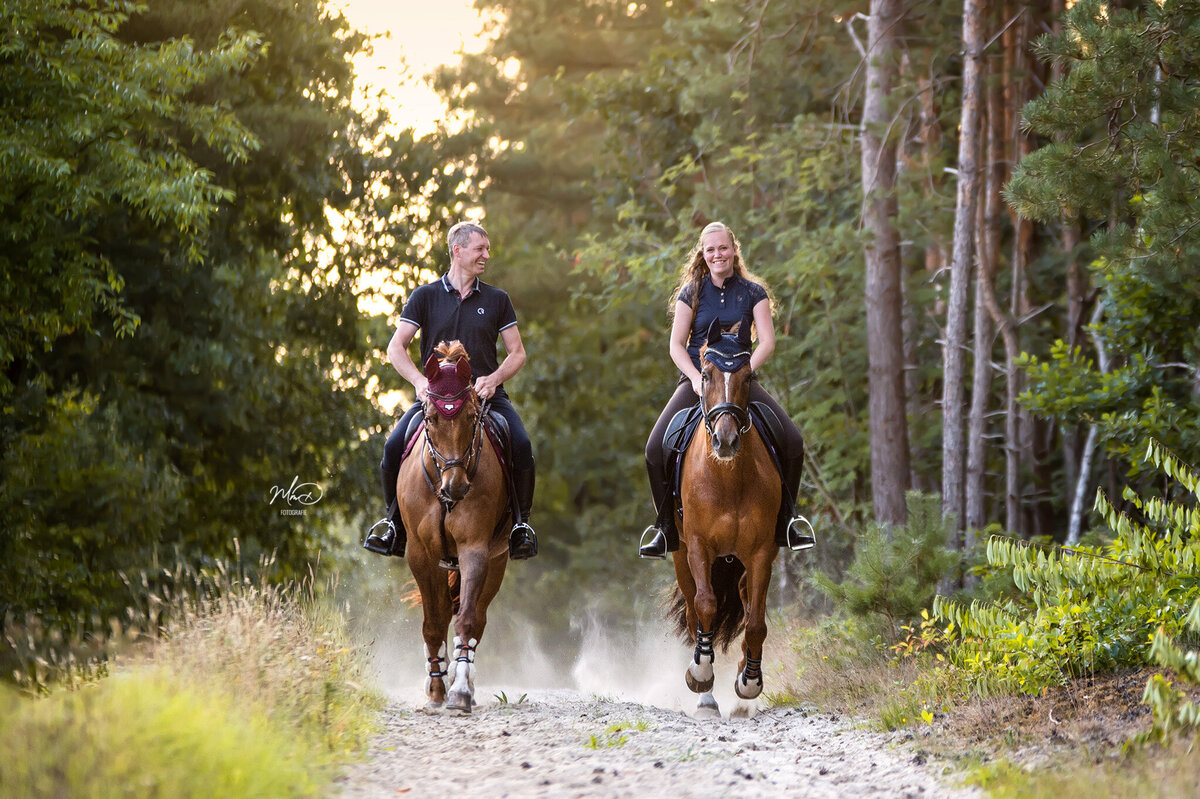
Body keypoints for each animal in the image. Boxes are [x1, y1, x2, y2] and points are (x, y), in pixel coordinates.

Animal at [398, 338, 511, 710]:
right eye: (432, 419)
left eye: (472, 416)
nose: (457, 487)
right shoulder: (420, 554)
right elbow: (434, 623)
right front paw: (436, 688)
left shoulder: (474, 548)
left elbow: (467, 619)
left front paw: (460, 689)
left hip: (498, 560)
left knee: (477, 617)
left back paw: (467, 682)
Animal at [667, 321, 777, 719]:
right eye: (705, 374)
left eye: (748, 376)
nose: (725, 440)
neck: (728, 478)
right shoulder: (698, 547)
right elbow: (706, 607)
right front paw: (700, 675)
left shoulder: (762, 553)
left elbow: (756, 622)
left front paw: (750, 681)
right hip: (681, 556)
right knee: (695, 613)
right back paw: (706, 696)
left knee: (746, 600)